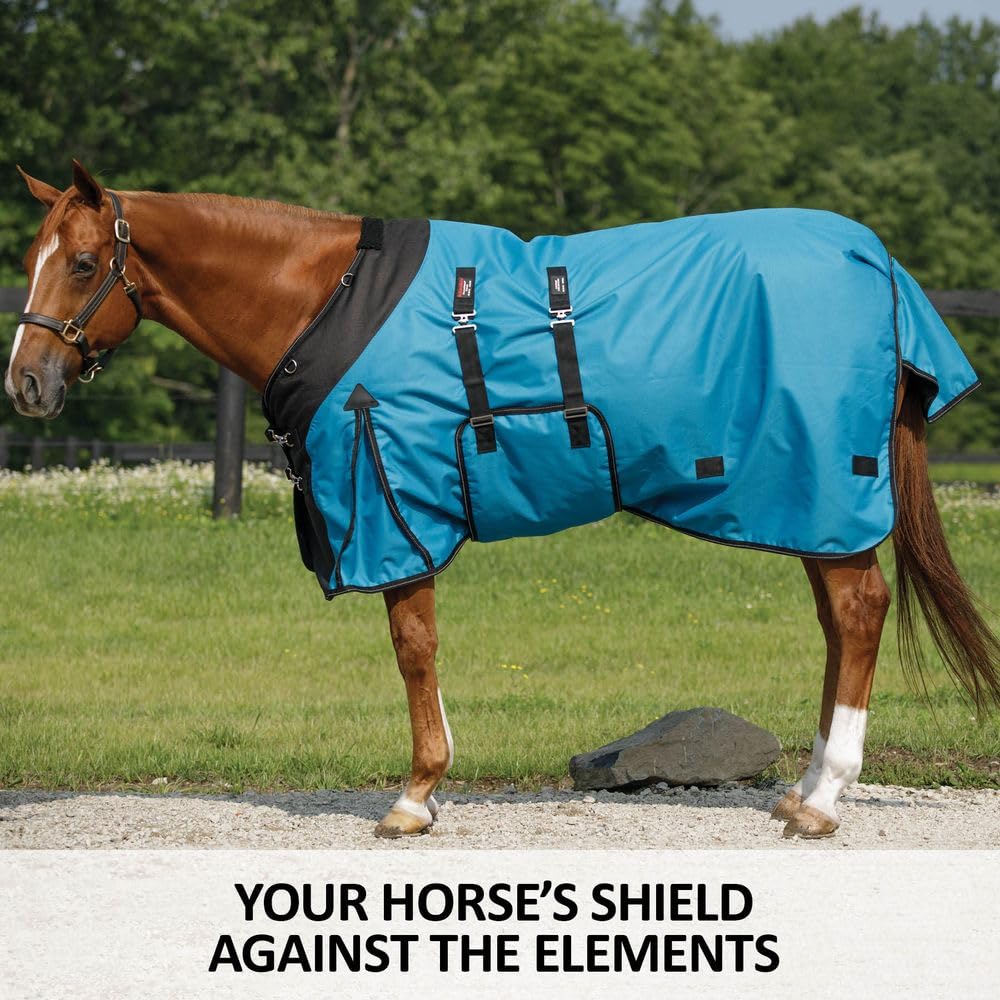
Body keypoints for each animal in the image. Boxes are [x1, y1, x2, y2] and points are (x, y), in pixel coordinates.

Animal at [6, 161, 1000, 840]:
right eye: (32, 257)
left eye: (84, 262)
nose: (26, 384)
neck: (327, 300)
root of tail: (873, 257)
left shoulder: (394, 501)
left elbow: (413, 648)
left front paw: (415, 796)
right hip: (805, 506)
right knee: (841, 622)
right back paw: (805, 788)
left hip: (821, 492)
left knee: (860, 612)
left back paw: (825, 797)